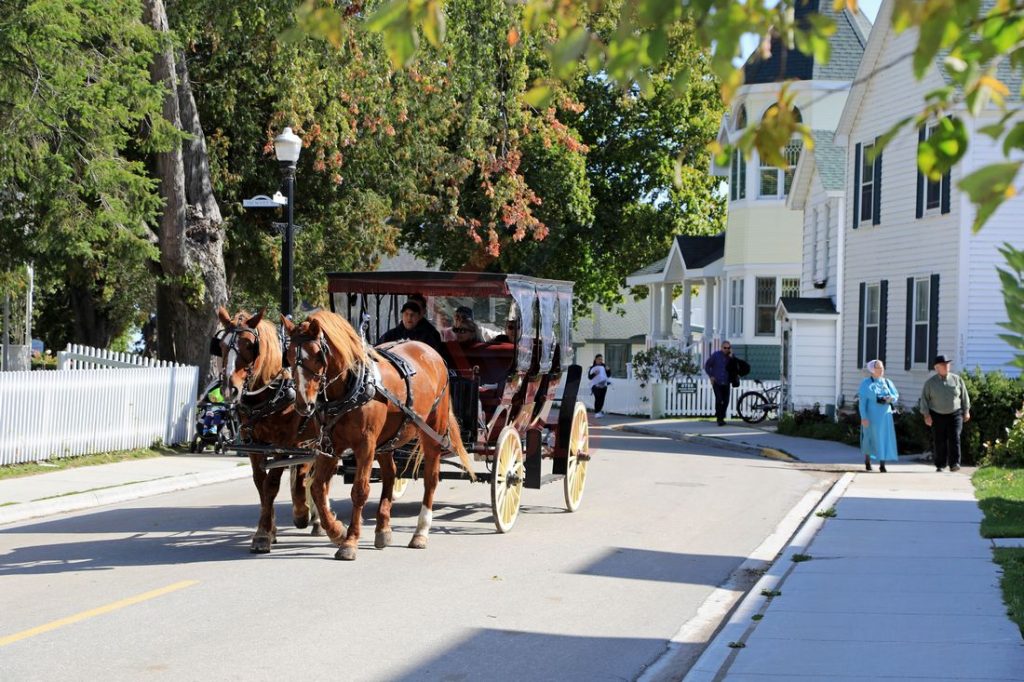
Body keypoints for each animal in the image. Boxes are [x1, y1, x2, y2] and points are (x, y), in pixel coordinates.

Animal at [218, 307, 321, 552]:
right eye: (222, 345)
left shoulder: (283, 444)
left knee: (308, 473)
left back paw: (310, 516)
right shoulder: (255, 445)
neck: (269, 395)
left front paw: (264, 533)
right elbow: (260, 484)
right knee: (306, 472)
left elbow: (272, 484)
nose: (229, 389)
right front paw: (268, 530)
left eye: (249, 345)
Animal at [280, 311, 471, 561]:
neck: (350, 388)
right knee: (390, 474)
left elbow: (359, 491)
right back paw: (383, 529)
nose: (304, 405)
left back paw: (420, 532)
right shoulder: (330, 447)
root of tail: (430, 351)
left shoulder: (365, 445)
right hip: (387, 441)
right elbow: (318, 488)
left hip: (431, 431)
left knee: (430, 478)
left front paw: (350, 541)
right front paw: (336, 530)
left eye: (317, 355)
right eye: (290, 356)